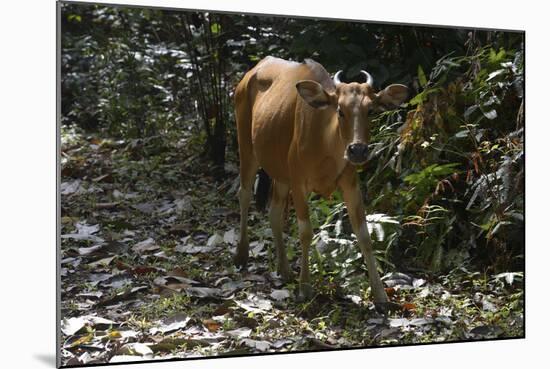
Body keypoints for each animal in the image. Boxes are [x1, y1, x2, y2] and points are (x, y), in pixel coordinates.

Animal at [233, 56, 410, 304]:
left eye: (370, 110)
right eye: (340, 110)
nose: (357, 150)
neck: (326, 144)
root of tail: (252, 71)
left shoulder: (350, 183)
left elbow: (364, 235)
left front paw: (380, 294)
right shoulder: (298, 183)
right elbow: (306, 232)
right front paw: (305, 288)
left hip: (280, 172)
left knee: (274, 213)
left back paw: (284, 269)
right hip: (247, 146)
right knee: (244, 194)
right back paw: (241, 254)